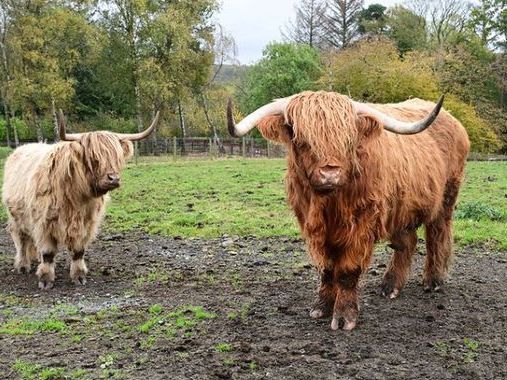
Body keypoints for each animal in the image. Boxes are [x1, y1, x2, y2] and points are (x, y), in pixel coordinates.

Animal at [1, 111, 159, 290]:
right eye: (93, 157)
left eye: (117, 157)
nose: (113, 178)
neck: (75, 197)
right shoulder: (44, 222)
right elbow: (48, 252)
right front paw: (46, 279)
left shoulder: (86, 223)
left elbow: (78, 251)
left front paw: (79, 276)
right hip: (16, 217)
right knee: (21, 240)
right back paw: (23, 266)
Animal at [228, 91, 470, 330]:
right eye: (301, 138)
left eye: (348, 140)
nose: (330, 174)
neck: (328, 204)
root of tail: (454, 121)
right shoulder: (313, 226)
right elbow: (326, 269)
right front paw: (322, 307)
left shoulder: (362, 224)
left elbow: (347, 271)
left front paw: (345, 316)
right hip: (401, 205)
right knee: (406, 243)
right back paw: (389, 286)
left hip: (446, 199)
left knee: (437, 236)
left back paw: (433, 281)